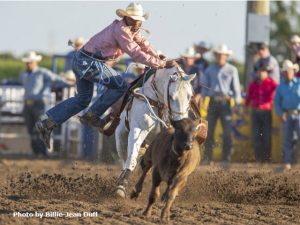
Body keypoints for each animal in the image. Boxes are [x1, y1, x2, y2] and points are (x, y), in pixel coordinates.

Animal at [114, 65, 195, 197]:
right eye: (171, 96)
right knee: (125, 158)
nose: (182, 122)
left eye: (190, 96)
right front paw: (121, 186)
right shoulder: (138, 129)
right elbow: (132, 157)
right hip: (121, 137)